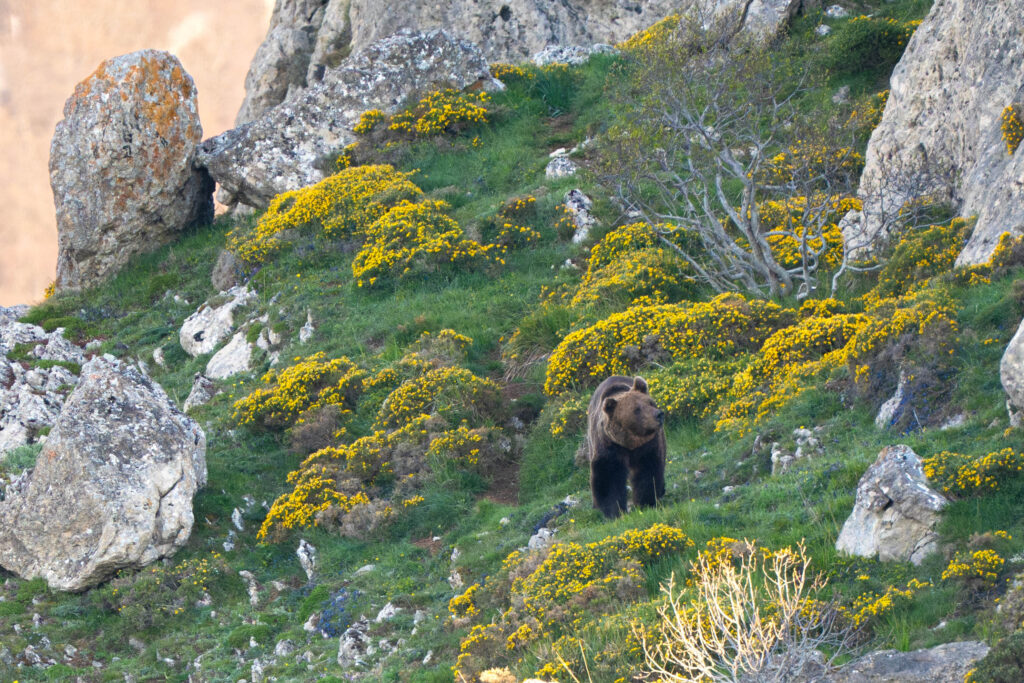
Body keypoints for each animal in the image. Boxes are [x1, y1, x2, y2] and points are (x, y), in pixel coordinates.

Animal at [584, 375, 666, 519]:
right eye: (637, 409)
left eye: (650, 403)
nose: (658, 414)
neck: (630, 443)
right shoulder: (609, 447)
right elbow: (608, 478)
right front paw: (614, 511)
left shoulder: (648, 445)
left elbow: (648, 470)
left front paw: (645, 502)